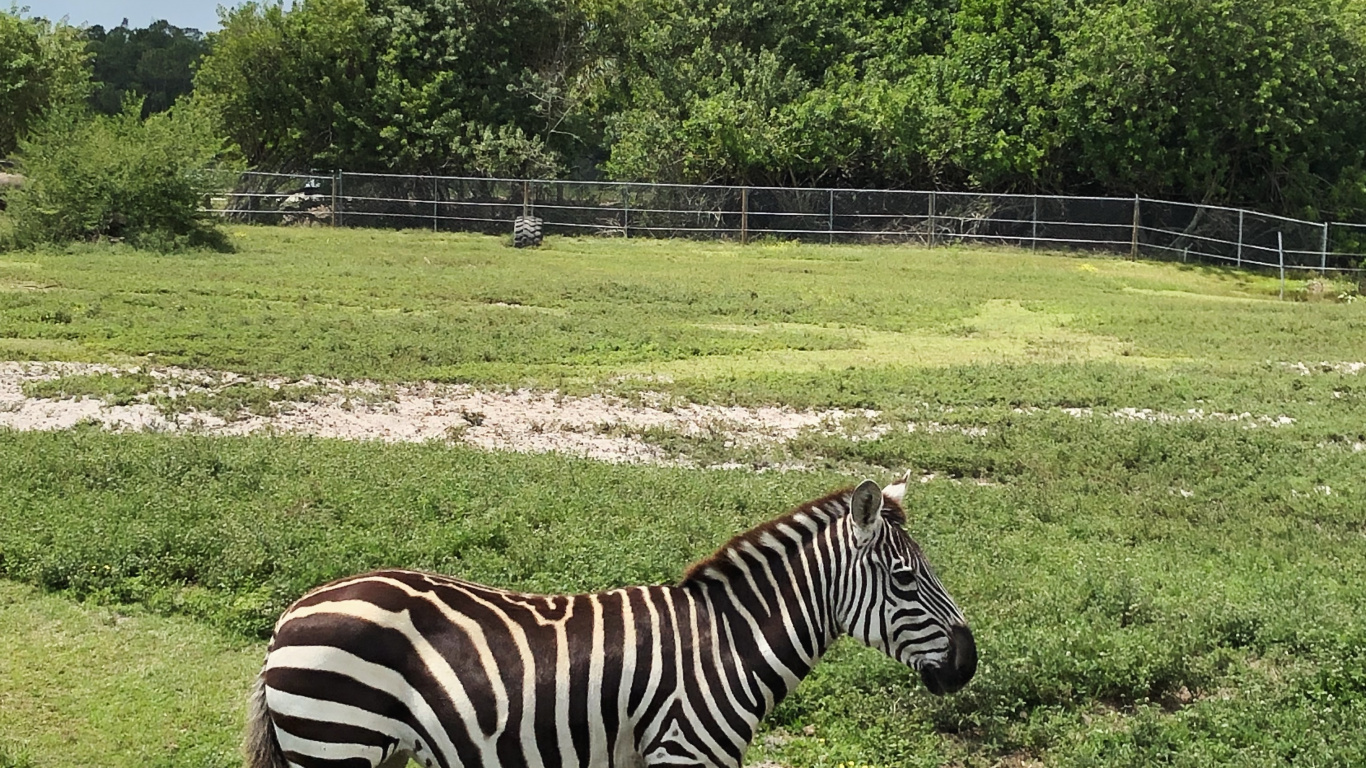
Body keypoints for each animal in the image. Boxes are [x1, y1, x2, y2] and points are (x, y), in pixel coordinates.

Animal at [246, 475, 977, 768]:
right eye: (906, 579)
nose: (969, 664)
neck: (729, 644)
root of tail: (292, 614)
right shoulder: (681, 753)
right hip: (337, 741)